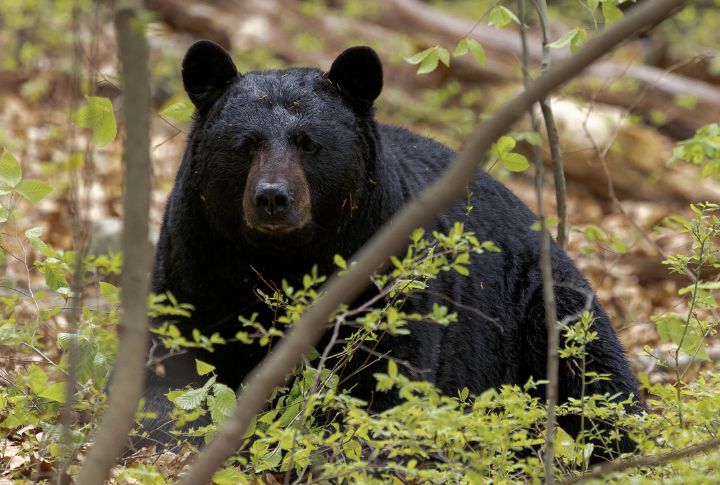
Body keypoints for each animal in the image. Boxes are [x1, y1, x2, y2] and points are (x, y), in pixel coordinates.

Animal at [137, 40, 640, 455]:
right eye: (245, 145)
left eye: (309, 144)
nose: (273, 197)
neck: (283, 259)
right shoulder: (195, 260)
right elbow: (172, 363)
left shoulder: (385, 272)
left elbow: (387, 377)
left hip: (540, 306)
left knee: (596, 375)